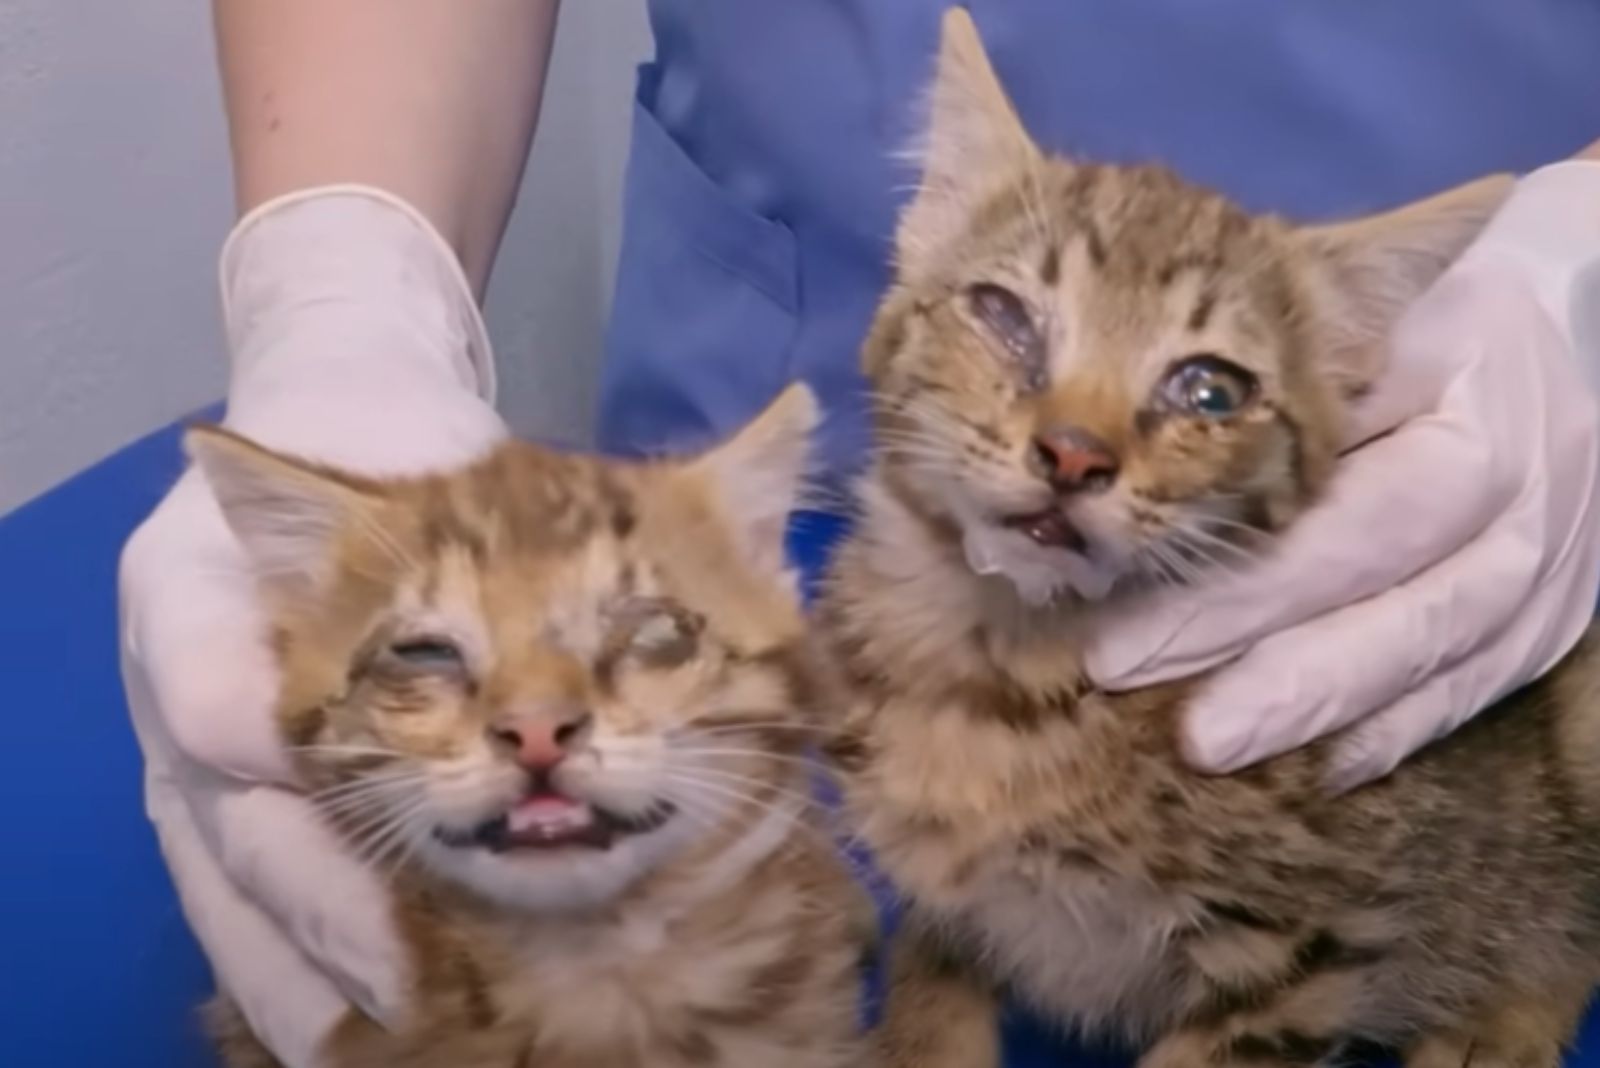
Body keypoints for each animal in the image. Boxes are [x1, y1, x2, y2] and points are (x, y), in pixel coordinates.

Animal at [825, 8, 1600, 1068]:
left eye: (1210, 391)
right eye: (1003, 315)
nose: (1073, 454)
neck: (1007, 673)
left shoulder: (1314, 949)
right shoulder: (944, 900)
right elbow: (929, 1013)